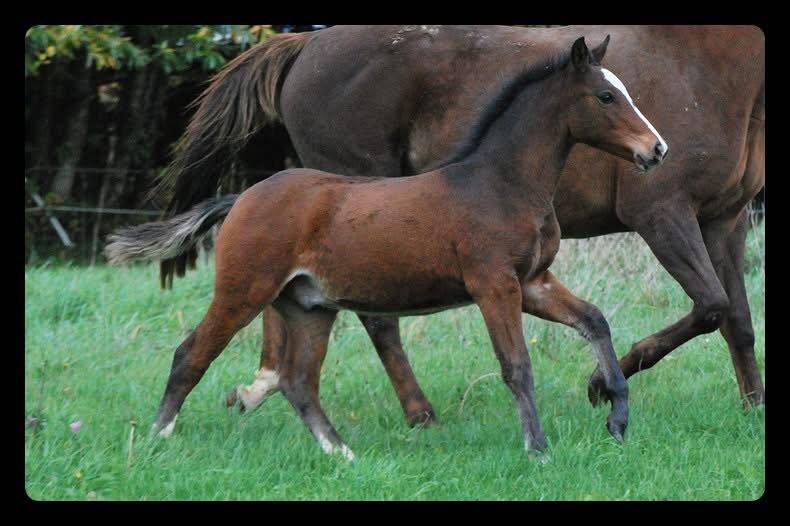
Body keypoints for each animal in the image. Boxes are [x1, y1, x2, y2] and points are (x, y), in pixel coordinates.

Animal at [154, 25, 764, 426]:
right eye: (607, 96)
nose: (657, 148)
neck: (705, 65)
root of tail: (305, 43)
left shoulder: (725, 221)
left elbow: (736, 317)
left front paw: (752, 408)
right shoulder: (661, 213)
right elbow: (711, 306)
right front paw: (598, 387)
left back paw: (257, 389)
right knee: (372, 319)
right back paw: (418, 413)